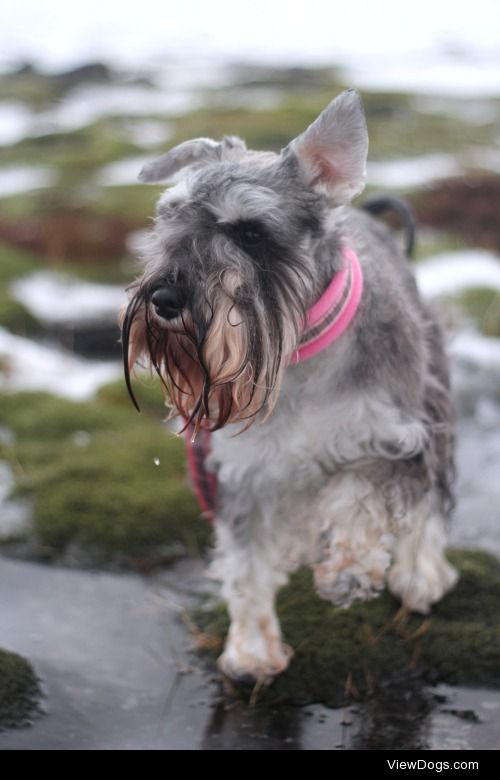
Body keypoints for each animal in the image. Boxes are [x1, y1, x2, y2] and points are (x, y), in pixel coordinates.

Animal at [120, 91, 458, 684]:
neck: (299, 358)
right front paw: (252, 649)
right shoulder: (244, 470)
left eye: (250, 232)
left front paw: (348, 572)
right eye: (168, 217)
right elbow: (247, 564)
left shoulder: (392, 437)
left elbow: (362, 500)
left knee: (431, 499)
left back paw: (421, 573)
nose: (162, 300)